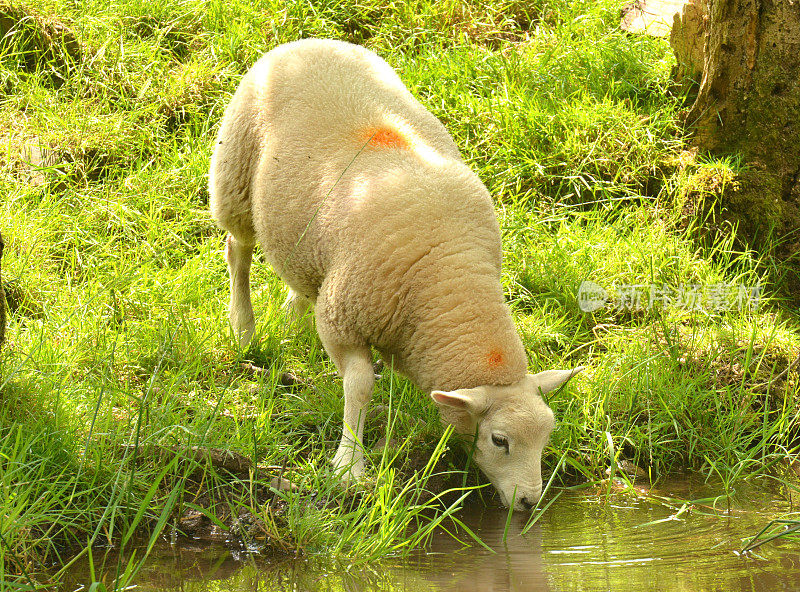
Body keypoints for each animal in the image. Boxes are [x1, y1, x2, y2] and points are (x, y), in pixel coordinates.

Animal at [206, 38, 580, 508]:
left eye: (546, 437)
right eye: (499, 440)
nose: (530, 502)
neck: (449, 276)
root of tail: (308, 41)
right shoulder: (344, 319)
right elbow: (360, 386)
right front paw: (349, 466)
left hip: (307, 239)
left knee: (301, 279)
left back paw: (290, 320)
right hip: (234, 174)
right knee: (237, 251)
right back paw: (243, 328)